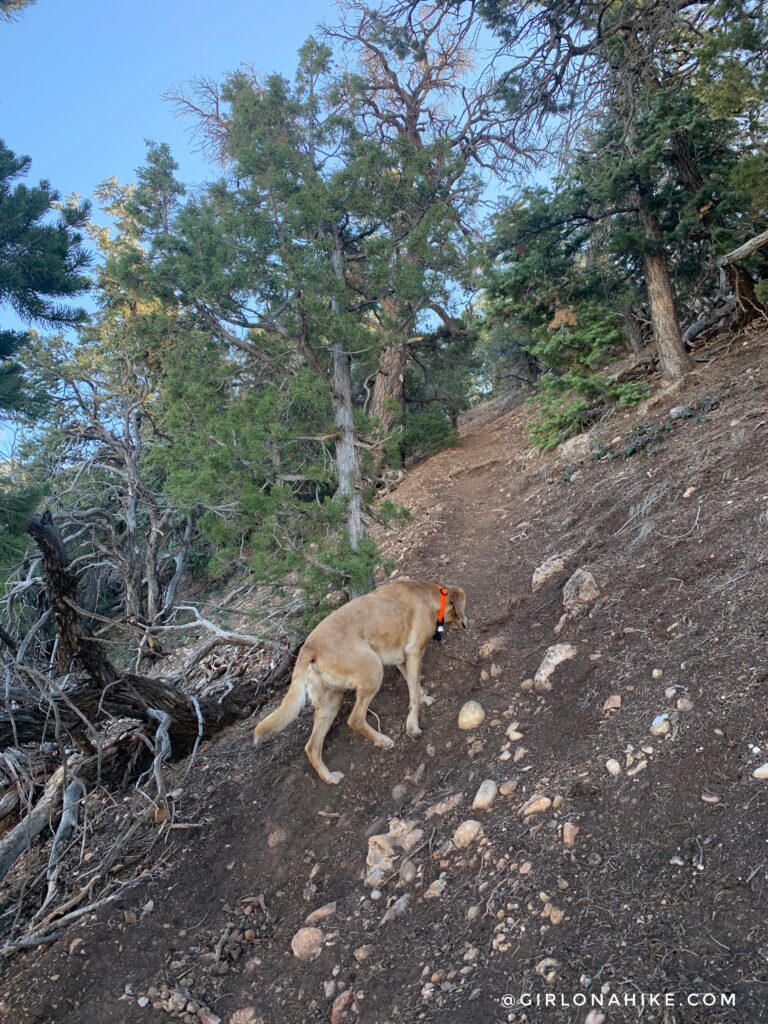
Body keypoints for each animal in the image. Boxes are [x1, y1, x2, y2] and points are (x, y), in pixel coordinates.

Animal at [253, 581, 468, 786]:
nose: (467, 623)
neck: (431, 594)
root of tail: (308, 647)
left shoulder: (402, 659)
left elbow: (413, 684)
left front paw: (424, 698)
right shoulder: (414, 651)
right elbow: (412, 694)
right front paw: (413, 726)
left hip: (330, 703)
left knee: (312, 747)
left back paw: (330, 777)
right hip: (373, 670)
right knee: (355, 719)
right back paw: (382, 740)